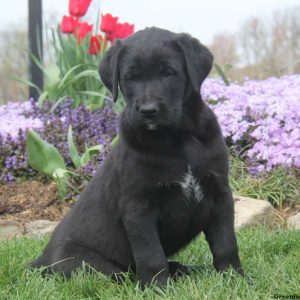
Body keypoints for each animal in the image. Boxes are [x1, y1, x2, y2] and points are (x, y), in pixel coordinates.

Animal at [31, 27, 244, 286]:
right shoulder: (138, 207)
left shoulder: (219, 192)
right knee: (121, 275)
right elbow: (150, 254)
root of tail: (41, 261)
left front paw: (235, 279)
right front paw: (159, 288)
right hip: (87, 265)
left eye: (168, 72)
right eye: (131, 77)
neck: (178, 137)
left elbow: (226, 243)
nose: (148, 111)